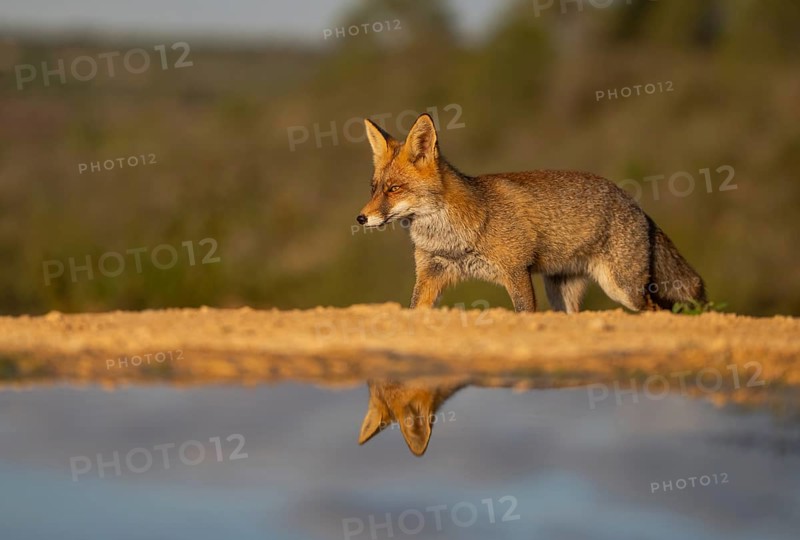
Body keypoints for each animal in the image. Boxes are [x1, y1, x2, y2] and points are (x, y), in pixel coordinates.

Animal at [356, 113, 705, 313]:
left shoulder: (516, 271)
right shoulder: (431, 274)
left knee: (656, 310)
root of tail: (636, 204)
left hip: (624, 289)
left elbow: (524, 314)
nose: (361, 218)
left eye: (394, 189)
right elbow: (414, 310)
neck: (450, 237)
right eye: (373, 188)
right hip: (562, 293)